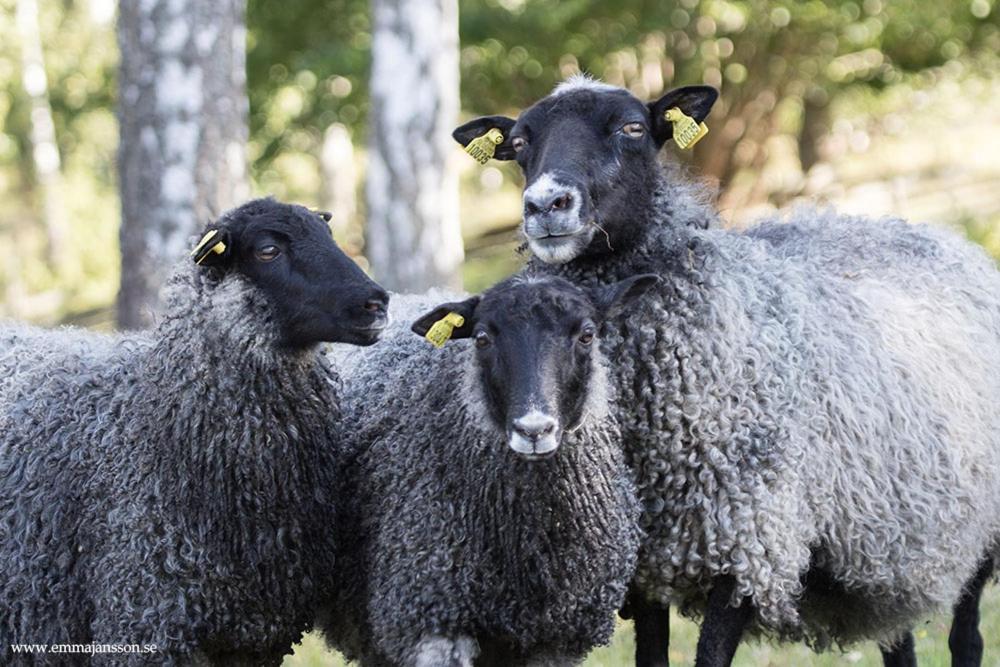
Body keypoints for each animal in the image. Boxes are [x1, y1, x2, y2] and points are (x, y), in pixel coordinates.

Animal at [314, 274, 656, 664]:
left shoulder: (559, 637)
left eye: (587, 335)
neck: (527, 546)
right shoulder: (432, 616)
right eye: (481, 339)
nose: (533, 430)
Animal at [454, 77, 1000, 667]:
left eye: (633, 128)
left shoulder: (746, 542)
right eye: (520, 142)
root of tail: (953, 242)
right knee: (898, 638)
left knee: (966, 636)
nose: (546, 204)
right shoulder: (644, 565)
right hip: (887, 543)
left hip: (978, 532)